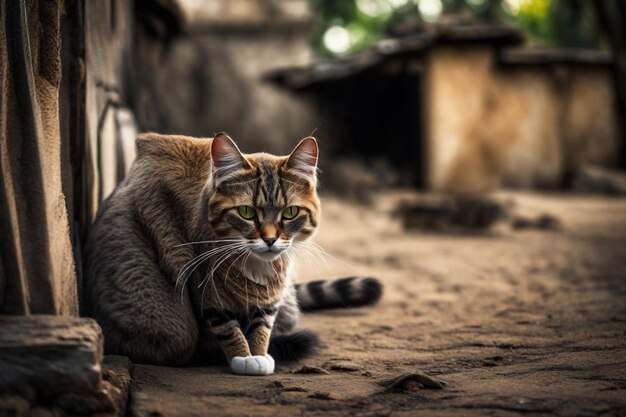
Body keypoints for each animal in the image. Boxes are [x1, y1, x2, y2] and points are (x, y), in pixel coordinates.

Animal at [82, 132, 380, 374]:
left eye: (290, 213)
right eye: (246, 212)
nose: (270, 240)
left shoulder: (273, 291)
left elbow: (262, 322)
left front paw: (258, 352)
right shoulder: (203, 281)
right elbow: (225, 324)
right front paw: (242, 357)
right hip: (164, 317)